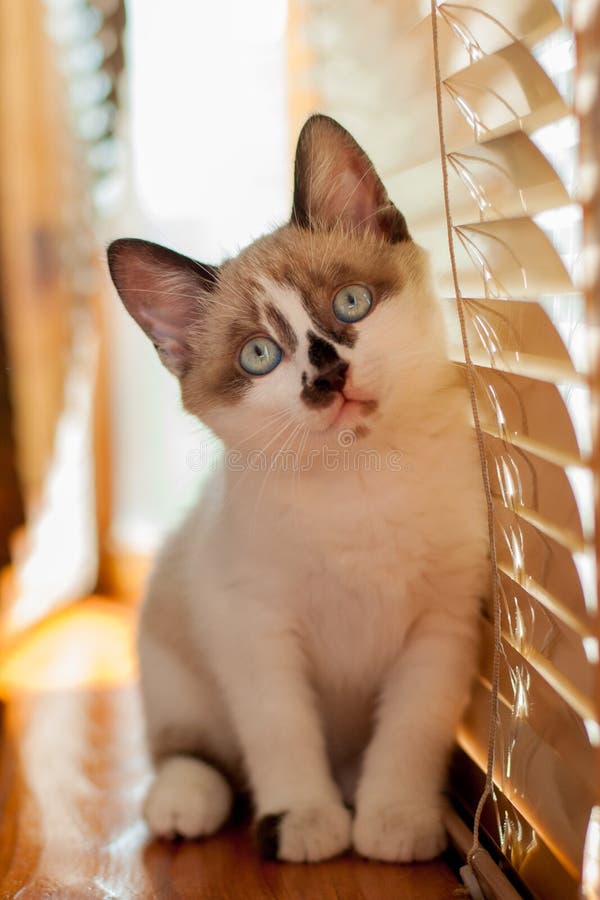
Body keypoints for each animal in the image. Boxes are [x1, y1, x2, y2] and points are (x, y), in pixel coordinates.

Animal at [108, 114, 490, 864]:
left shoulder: (442, 626)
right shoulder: (255, 628)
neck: (361, 483)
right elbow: (281, 732)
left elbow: (411, 731)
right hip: (173, 663)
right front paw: (305, 820)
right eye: (260, 356)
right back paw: (185, 804)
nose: (328, 375)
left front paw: (394, 818)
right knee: (189, 753)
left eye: (351, 303)